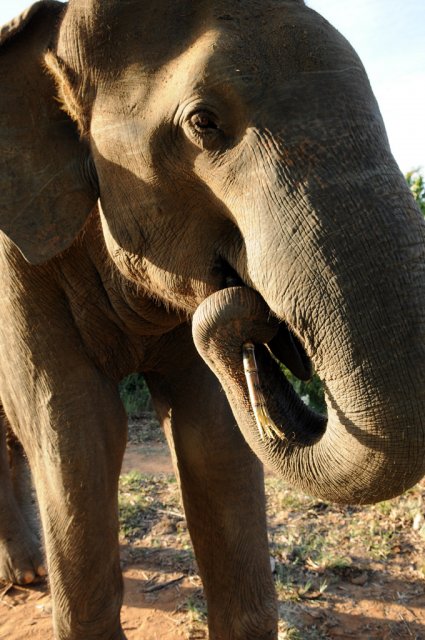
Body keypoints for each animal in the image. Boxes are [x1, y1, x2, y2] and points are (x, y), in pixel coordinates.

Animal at [0, 0, 422, 636]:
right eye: (204, 122)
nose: (253, 315)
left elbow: (214, 435)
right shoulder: (16, 266)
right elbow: (76, 432)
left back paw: (29, 572)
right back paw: (29, 575)